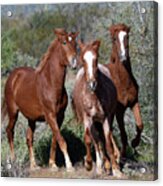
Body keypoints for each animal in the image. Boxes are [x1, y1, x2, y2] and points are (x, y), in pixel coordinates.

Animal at [1, 28, 78, 171]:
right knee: (9, 131)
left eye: (75, 43)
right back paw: (13, 161)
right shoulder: (50, 116)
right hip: (13, 112)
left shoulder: (60, 116)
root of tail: (13, 76)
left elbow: (55, 139)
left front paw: (52, 164)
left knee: (29, 138)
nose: (74, 61)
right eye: (64, 42)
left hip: (31, 118)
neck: (50, 83)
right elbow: (61, 140)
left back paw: (34, 165)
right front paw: (69, 166)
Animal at [71, 40, 122, 177]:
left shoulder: (105, 118)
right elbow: (89, 140)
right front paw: (88, 163)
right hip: (92, 122)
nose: (92, 84)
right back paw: (99, 166)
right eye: (83, 59)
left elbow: (108, 142)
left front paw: (116, 169)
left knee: (102, 139)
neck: (94, 97)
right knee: (96, 140)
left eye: (96, 58)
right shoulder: (87, 119)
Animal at [105, 23, 143, 157]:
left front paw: (135, 143)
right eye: (114, 39)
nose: (123, 57)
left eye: (127, 36)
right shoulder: (119, 110)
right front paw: (122, 153)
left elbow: (140, 125)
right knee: (109, 130)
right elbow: (123, 134)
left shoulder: (134, 102)